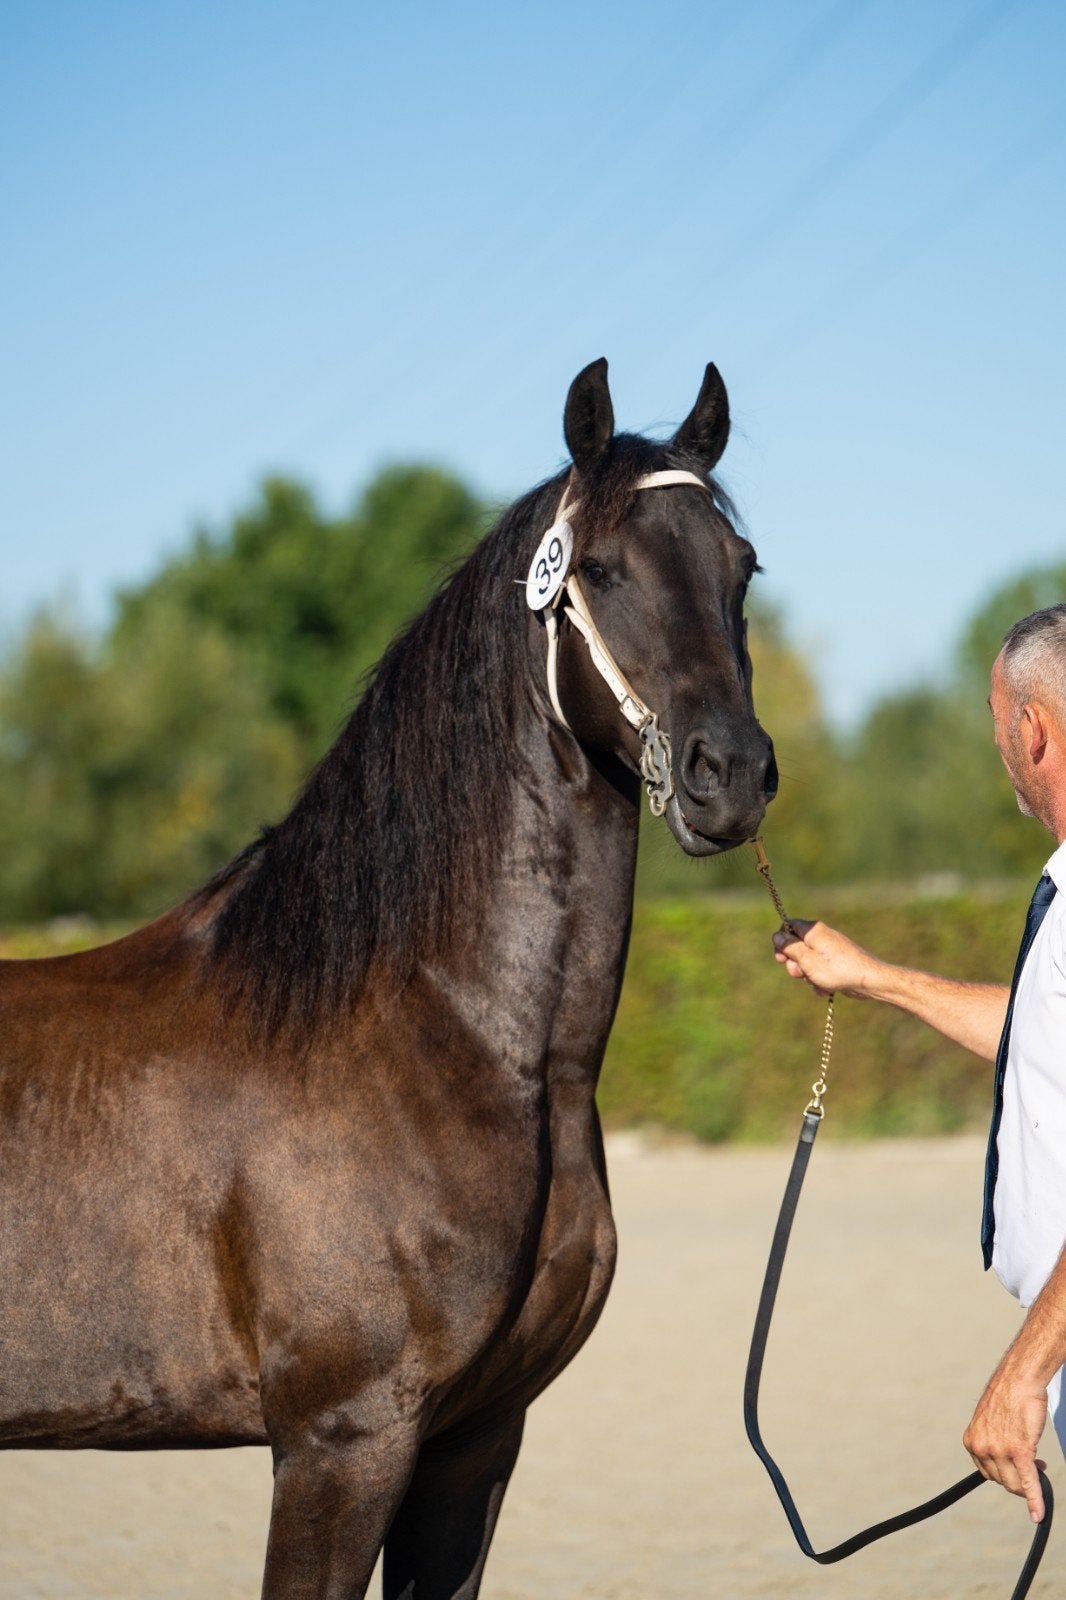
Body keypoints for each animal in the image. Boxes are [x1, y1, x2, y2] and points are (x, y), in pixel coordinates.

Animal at [0, 357, 776, 1598]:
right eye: (601, 568)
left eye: (739, 565)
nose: (730, 773)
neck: (442, 1033)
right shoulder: (343, 1437)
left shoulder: (474, 1437)